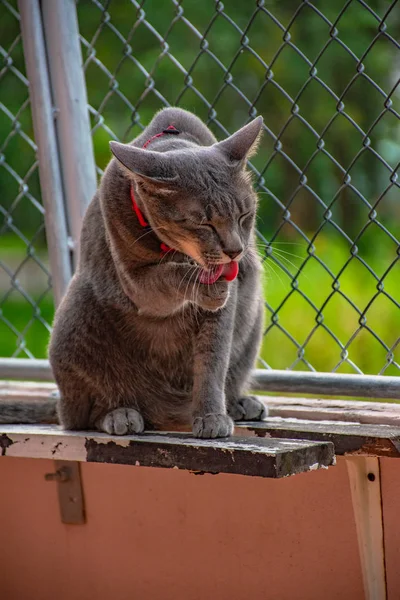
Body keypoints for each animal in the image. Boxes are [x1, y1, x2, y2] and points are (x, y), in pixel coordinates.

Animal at [13, 106, 268, 436]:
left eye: (244, 215)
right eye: (204, 223)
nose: (235, 250)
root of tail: (167, 412)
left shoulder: (226, 312)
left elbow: (212, 362)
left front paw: (212, 416)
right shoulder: (134, 280)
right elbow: (165, 279)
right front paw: (202, 284)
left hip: (253, 313)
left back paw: (238, 403)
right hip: (75, 314)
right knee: (79, 415)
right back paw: (120, 414)